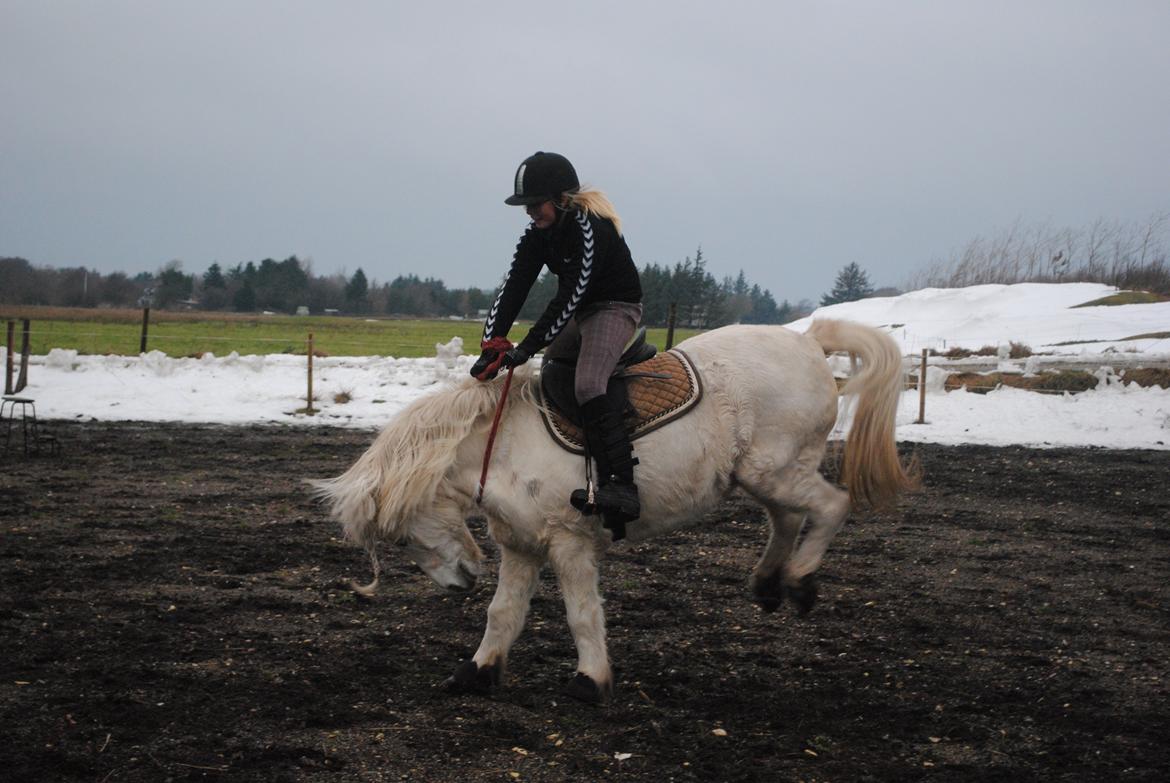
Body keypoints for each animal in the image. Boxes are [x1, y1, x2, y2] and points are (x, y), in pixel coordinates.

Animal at [311, 318, 912, 702]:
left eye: (400, 536)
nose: (460, 581)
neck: (503, 445)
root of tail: (809, 342)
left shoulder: (568, 544)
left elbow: (582, 614)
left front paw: (591, 680)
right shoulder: (520, 548)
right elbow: (503, 614)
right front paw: (477, 671)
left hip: (778, 471)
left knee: (831, 505)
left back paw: (802, 581)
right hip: (763, 474)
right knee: (787, 518)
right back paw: (769, 584)